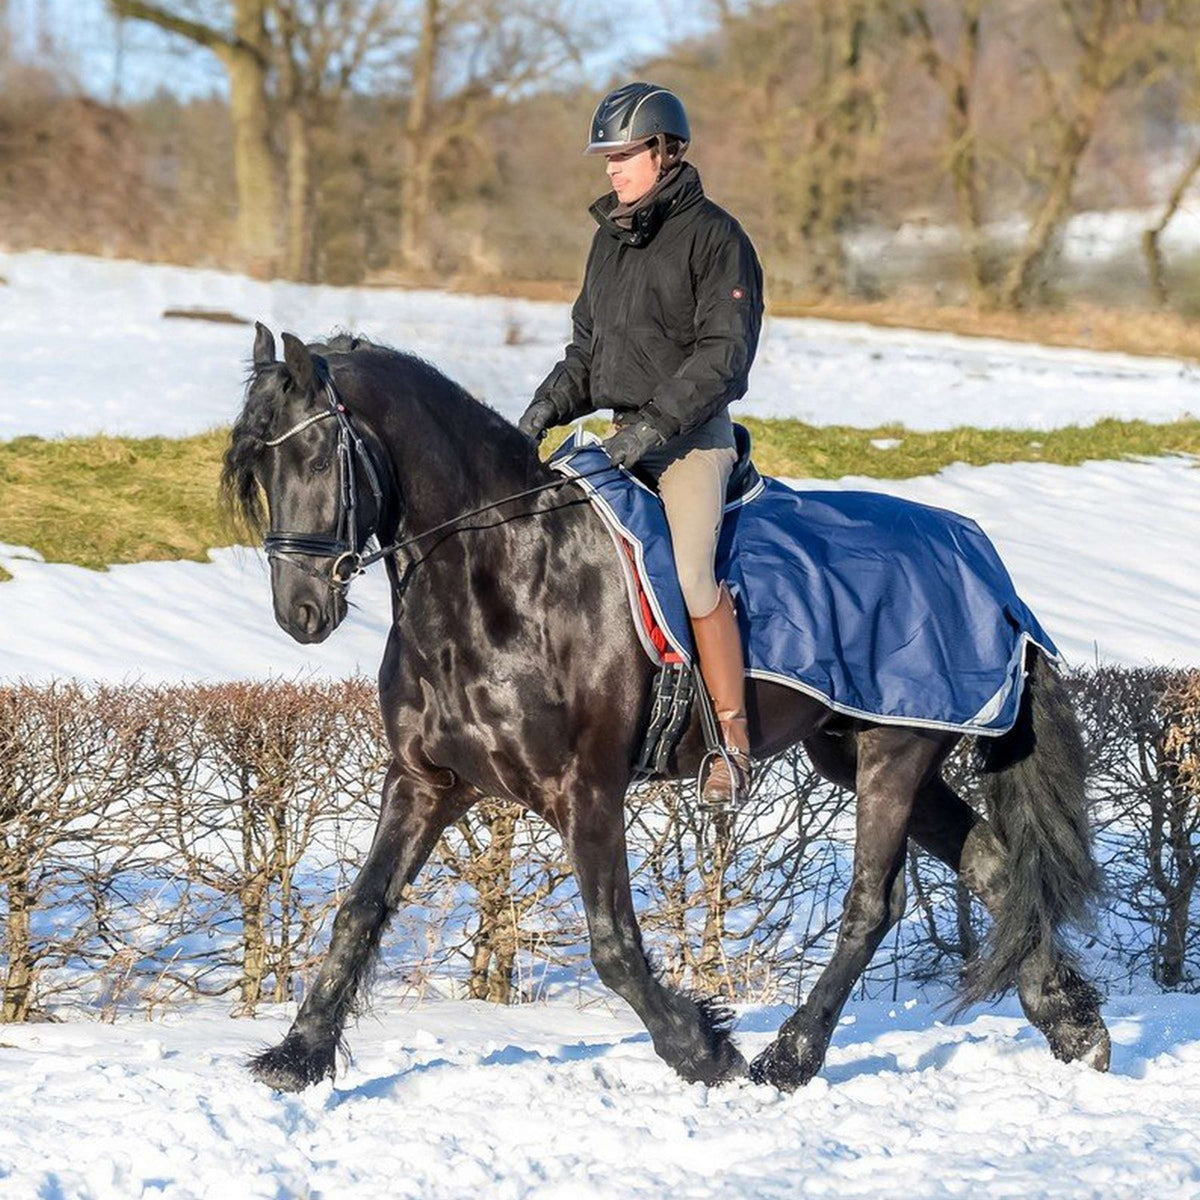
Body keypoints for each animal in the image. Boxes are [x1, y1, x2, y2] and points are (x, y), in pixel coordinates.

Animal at [220, 324, 1108, 1094]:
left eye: (314, 453)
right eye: (257, 472)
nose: (299, 612)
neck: (498, 573)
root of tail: (988, 570)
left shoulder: (586, 791)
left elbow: (614, 946)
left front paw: (702, 1049)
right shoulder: (424, 781)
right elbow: (360, 910)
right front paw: (296, 1056)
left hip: (896, 751)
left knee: (872, 904)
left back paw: (790, 1058)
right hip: (861, 753)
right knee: (994, 863)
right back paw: (1074, 1025)